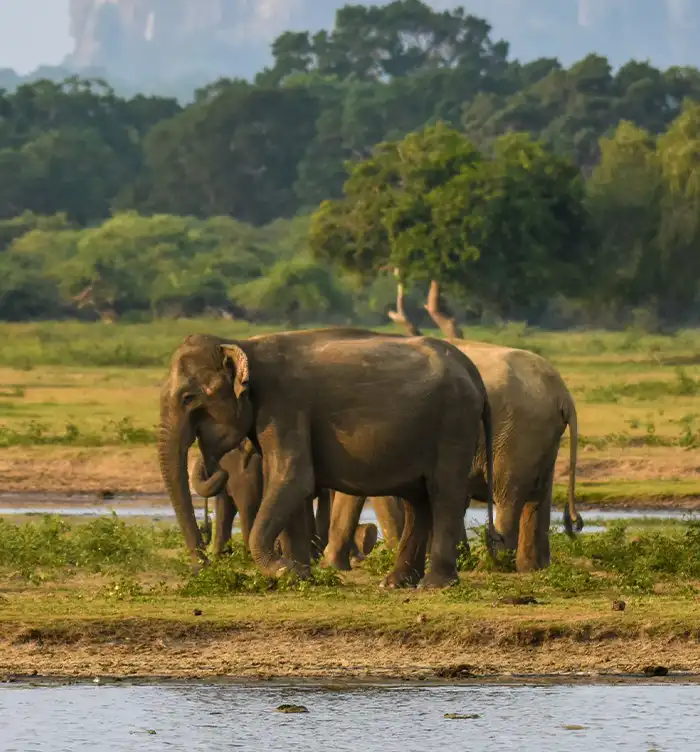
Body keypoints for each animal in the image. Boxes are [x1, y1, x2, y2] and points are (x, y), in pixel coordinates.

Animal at [157, 327, 496, 588]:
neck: (243, 344)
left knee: (443, 493)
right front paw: (300, 576)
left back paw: (435, 584)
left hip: (454, 423)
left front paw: (285, 570)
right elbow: (289, 486)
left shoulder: (285, 407)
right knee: (419, 500)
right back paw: (395, 583)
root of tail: (474, 373)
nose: (203, 567)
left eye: (188, 398)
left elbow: (293, 478)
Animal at [322, 341, 583, 573]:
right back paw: (532, 566)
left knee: (509, 494)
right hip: (541, 438)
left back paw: (492, 566)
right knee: (539, 497)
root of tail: (563, 395)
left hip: (518, 434)